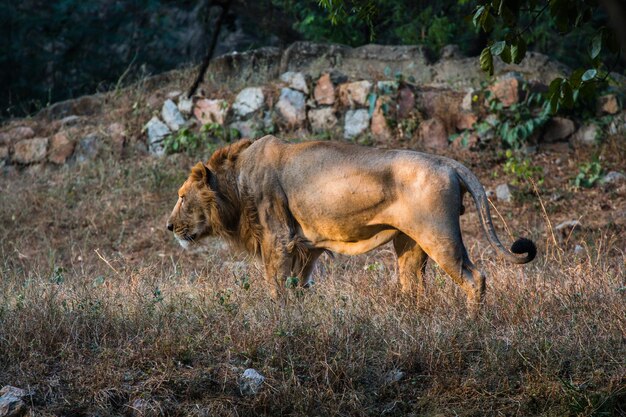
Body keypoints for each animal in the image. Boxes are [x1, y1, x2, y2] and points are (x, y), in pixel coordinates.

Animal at [167, 136, 536, 316]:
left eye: (182, 197)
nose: (169, 227)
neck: (236, 183)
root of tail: (448, 161)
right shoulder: (305, 247)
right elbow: (298, 287)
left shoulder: (279, 239)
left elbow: (276, 287)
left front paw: (277, 320)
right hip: (409, 244)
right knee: (415, 287)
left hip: (439, 235)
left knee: (476, 278)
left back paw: (473, 325)